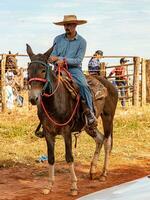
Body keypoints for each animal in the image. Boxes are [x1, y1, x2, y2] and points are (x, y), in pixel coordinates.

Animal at [26, 43, 118, 195]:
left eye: (43, 70)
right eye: (28, 70)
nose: (34, 98)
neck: (55, 101)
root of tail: (109, 84)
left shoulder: (66, 132)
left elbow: (69, 157)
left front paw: (74, 186)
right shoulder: (48, 133)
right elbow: (51, 158)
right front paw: (49, 185)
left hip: (108, 118)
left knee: (107, 142)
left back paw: (104, 174)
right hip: (89, 126)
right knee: (99, 139)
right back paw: (92, 170)